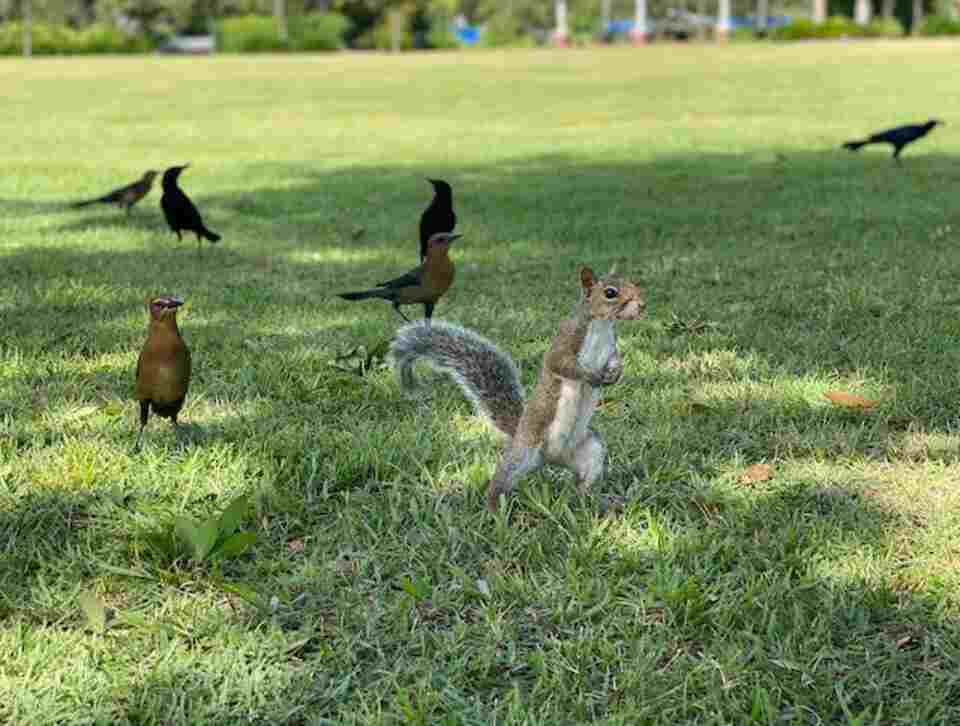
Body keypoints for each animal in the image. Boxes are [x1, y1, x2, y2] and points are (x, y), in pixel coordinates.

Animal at [389, 266, 646, 511]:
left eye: (634, 284)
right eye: (610, 293)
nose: (643, 305)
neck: (601, 325)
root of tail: (551, 458)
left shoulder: (611, 347)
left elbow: (614, 360)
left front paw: (615, 373)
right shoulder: (565, 341)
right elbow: (562, 364)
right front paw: (590, 376)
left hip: (591, 450)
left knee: (583, 486)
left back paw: (600, 501)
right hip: (524, 451)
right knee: (501, 481)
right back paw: (494, 509)